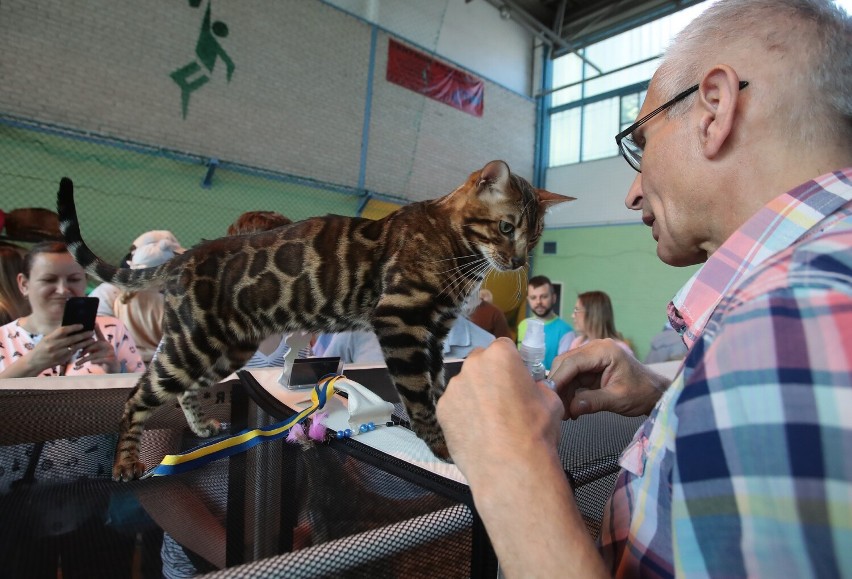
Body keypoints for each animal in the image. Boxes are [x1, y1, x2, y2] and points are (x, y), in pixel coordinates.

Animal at [56, 160, 576, 480]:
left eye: (534, 238)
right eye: (507, 228)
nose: (517, 261)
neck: (457, 247)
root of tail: (186, 256)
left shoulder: (434, 333)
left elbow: (439, 386)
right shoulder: (402, 320)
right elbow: (419, 396)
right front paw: (443, 447)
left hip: (224, 347)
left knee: (182, 390)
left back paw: (202, 429)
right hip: (195, 345)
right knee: (135, 397)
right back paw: (125, 463)